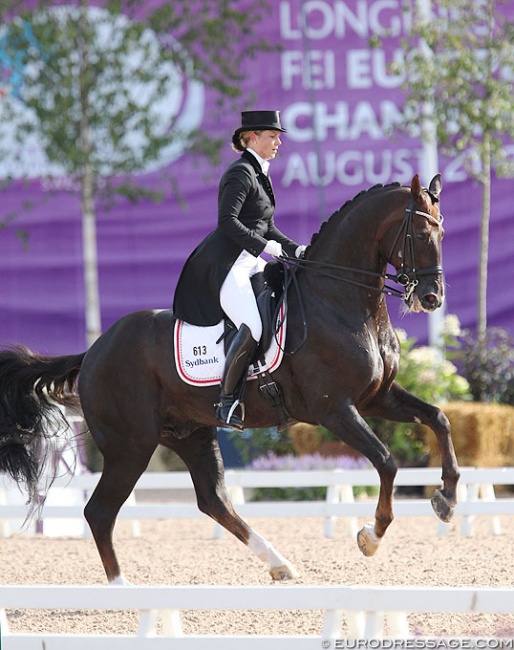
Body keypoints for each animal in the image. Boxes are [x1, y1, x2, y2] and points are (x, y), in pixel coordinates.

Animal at [0, 172, 456, 584]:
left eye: (442, 230)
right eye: (420, 232)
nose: (432, 297)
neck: (338, 298)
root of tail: (93, 350)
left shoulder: (377, 398)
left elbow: (438, 418)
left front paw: (446, 499)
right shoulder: (336, 410)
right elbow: (386, 460)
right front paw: (370, 536)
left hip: (190, 433)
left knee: (213, 500)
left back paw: (280, 564)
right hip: (131, 446)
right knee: (99, 511)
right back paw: (123, 591)